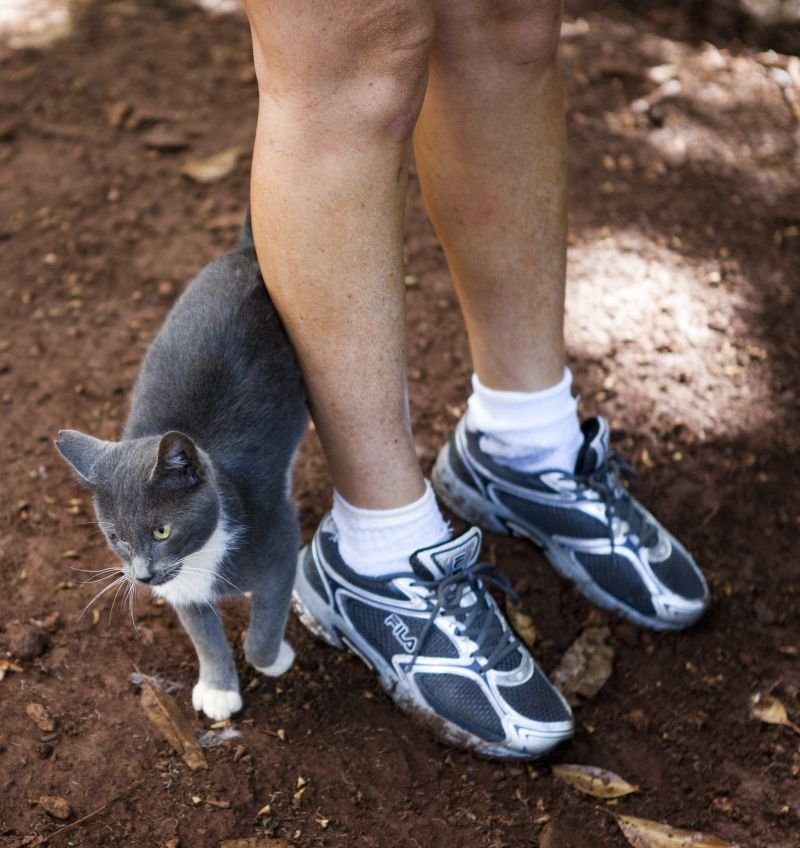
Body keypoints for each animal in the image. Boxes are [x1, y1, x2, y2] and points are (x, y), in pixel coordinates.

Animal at [53, 214, 308, 724]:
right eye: (115, 537)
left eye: (163, 531)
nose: (141, 577)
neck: (204, 557)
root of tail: (244, 250)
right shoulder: (183, 588)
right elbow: (202, 634)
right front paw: (218, 688)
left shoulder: (277, 537)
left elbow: (264, 627)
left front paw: (273, 658)